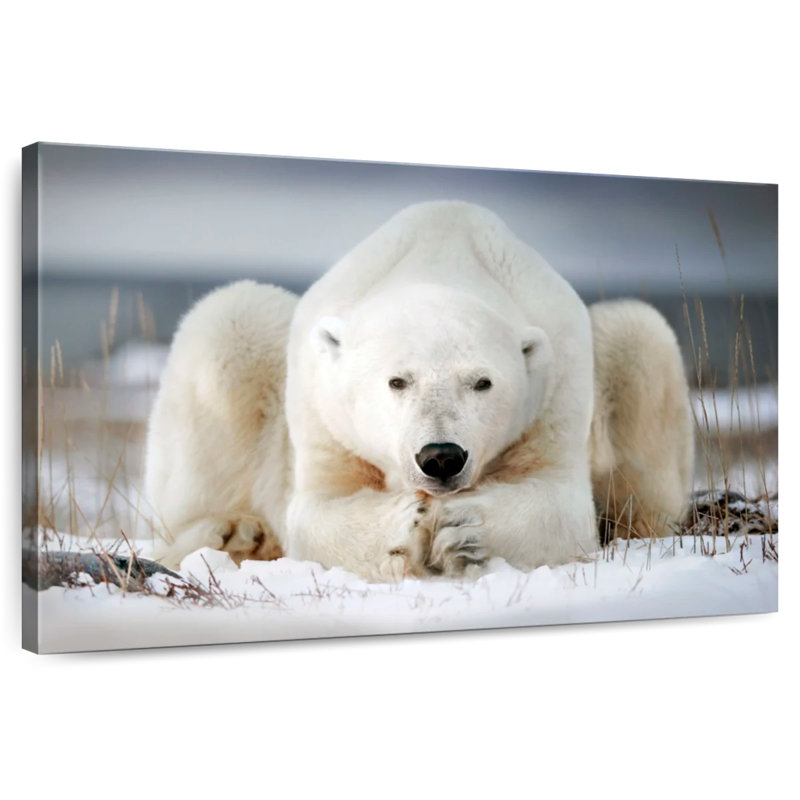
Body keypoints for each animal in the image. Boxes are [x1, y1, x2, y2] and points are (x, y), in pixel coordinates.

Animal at [144, 201, 694, 580]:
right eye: (397, 380)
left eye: (482, 382)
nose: (441, 456)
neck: (441, 252)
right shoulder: (323, 408)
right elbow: (316, 511)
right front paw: (406, 528)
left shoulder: (557, 386)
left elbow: (560, 502)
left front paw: (463, 530)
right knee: (230, 323)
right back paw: (234, 534)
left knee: (638, 338)